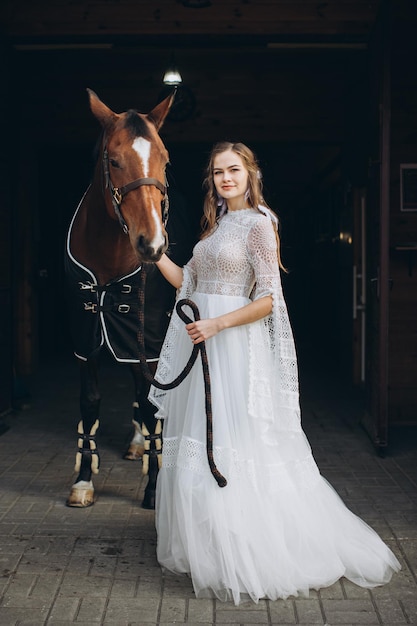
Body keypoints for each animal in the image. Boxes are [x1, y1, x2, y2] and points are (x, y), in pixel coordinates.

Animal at [65, 88, 188, 508]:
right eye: (115, 161)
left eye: (166, 159)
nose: (152, 244)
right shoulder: (86, 337)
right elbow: (89, 402)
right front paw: (83, 481)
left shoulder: (146, 341)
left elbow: (151, 406)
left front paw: (154, 488)